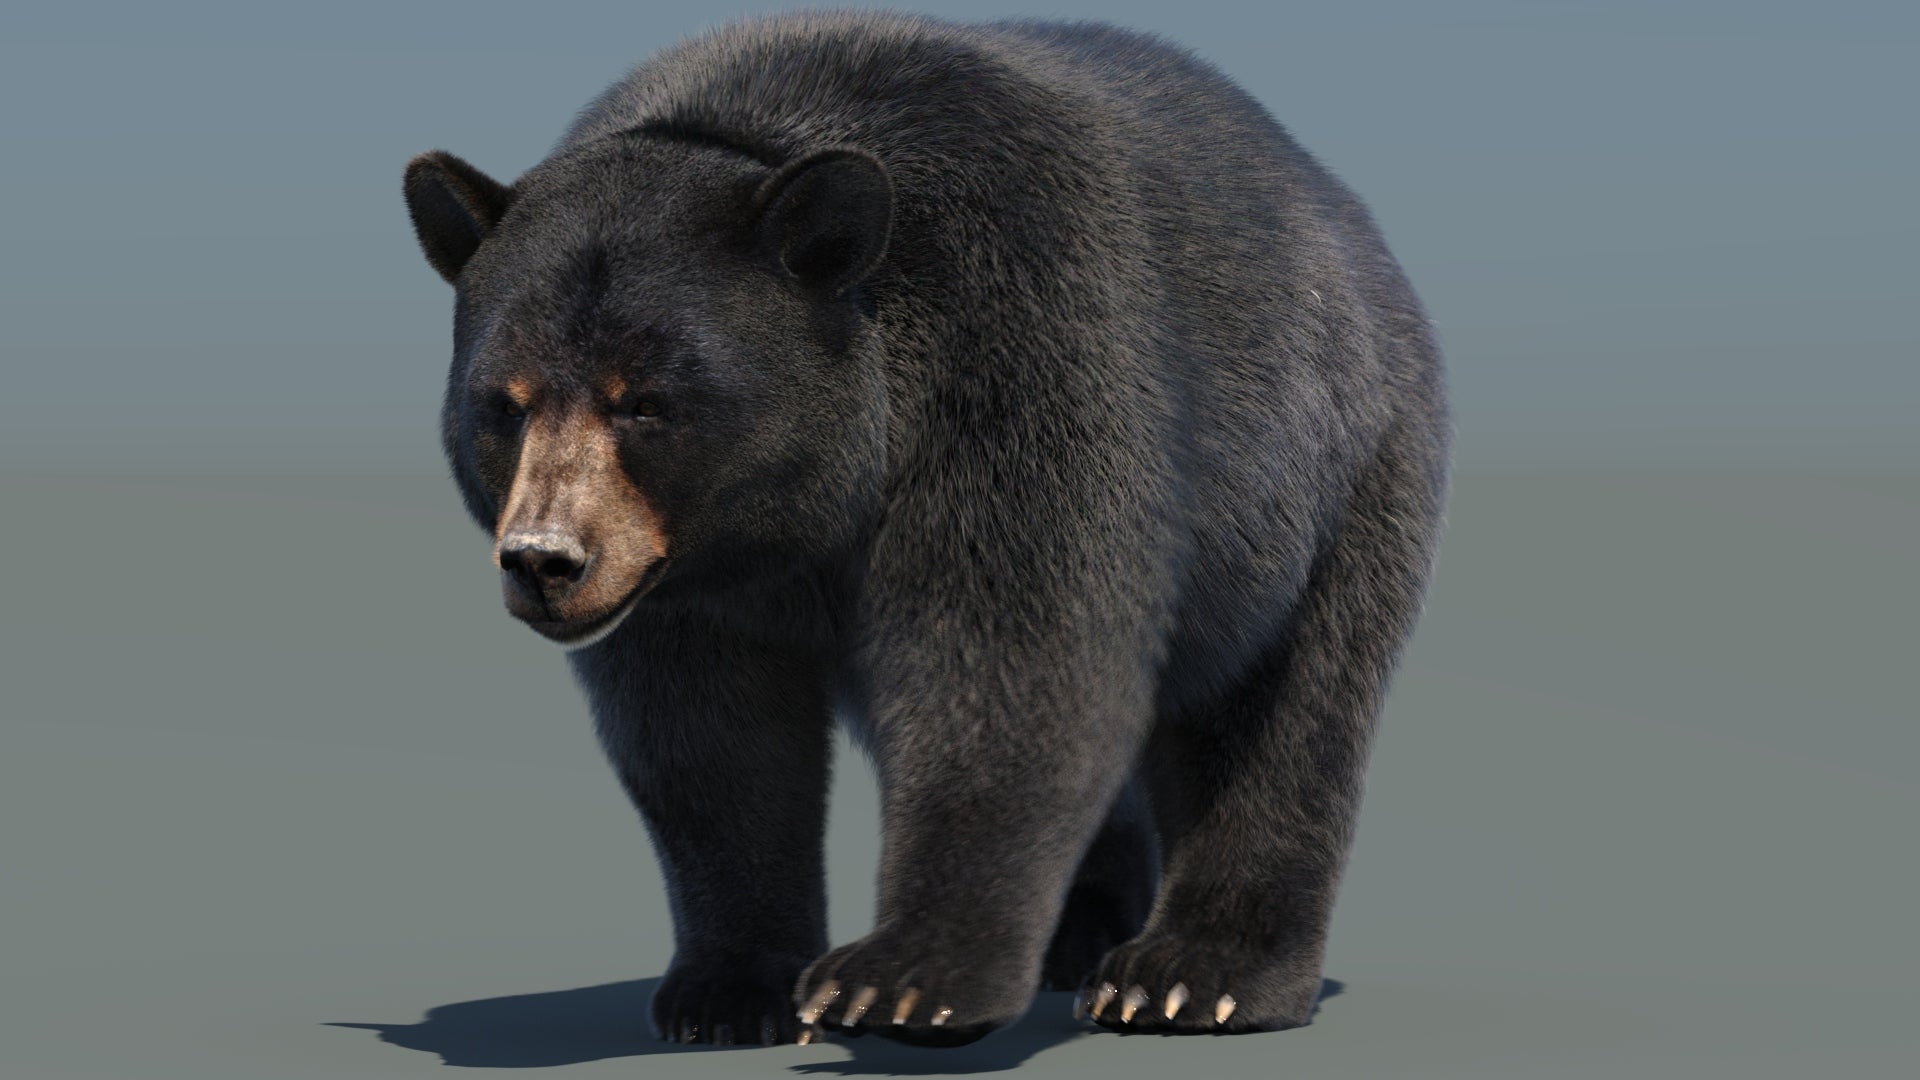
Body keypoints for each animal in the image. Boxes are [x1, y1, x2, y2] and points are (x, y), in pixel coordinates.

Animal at [401, 9, 1450, 1049]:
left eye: (647, 403)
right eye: (504, 405)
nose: (544, 561)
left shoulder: (1017, 347)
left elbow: (1006, 660)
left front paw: (901, 980)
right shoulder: (685, 577)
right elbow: (710, 737)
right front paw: (728, 989)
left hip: (1331, 471)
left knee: (1284, 706)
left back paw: (1194, 975)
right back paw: (1080, 933)